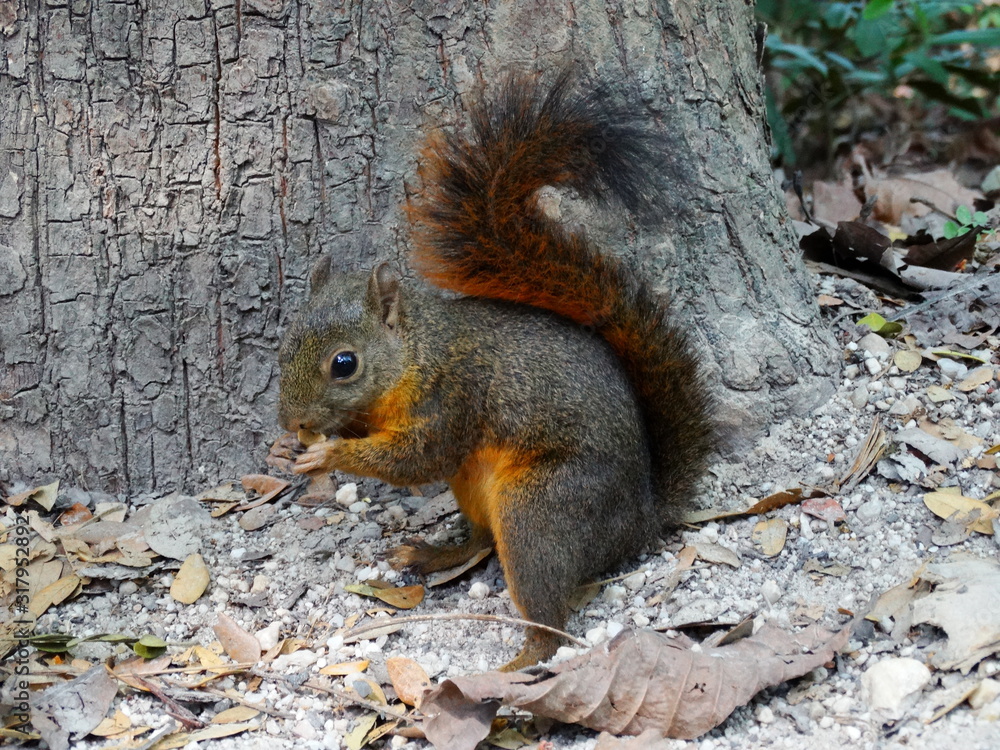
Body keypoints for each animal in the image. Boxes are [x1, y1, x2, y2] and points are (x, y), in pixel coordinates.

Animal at [268, 72, 715, 671]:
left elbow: (418, 458)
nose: (290, 420)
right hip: (476, 488)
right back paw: (435, 554)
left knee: (548, 616)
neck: (418, 351)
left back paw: (518, 665)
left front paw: (329, 454)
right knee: (482, 542)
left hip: (541, 510)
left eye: (345, 364)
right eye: (284, 342)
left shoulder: (452, 395)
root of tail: (641, 519)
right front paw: (289, 448)